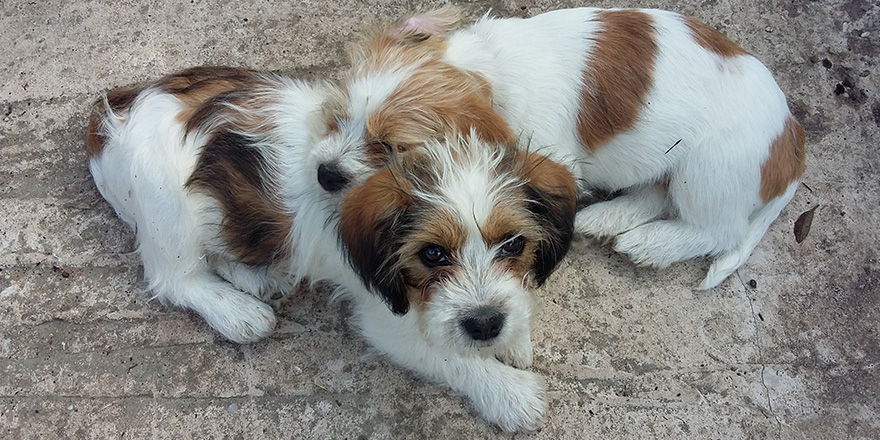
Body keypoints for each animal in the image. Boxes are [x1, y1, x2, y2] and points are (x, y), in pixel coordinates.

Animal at [314, 7, 804, 288]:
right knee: (656, 192)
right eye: (335, 117)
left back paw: (653, 244)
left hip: (707, 169)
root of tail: (793, 140)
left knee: (718, 230)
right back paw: (609, 219)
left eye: (389, 146)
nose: (324, 174)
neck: (486, 68)